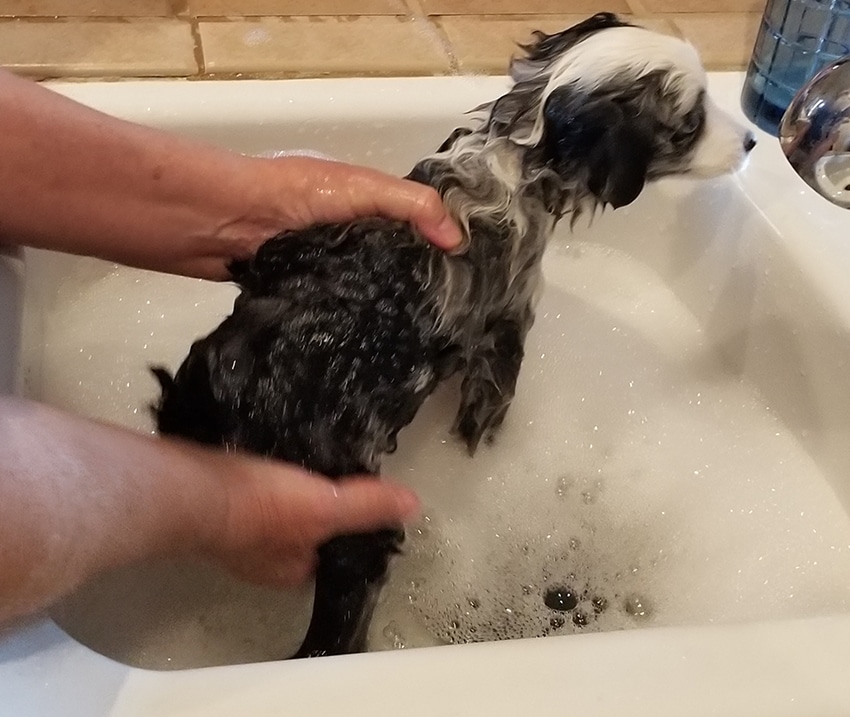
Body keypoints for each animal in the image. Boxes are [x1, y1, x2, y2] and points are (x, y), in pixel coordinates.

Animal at [151, 12, 748, 660]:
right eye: (690, 124)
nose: (751, 142)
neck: (518, 153)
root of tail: (227, 399)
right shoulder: (507, 328)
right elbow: (485, 417)